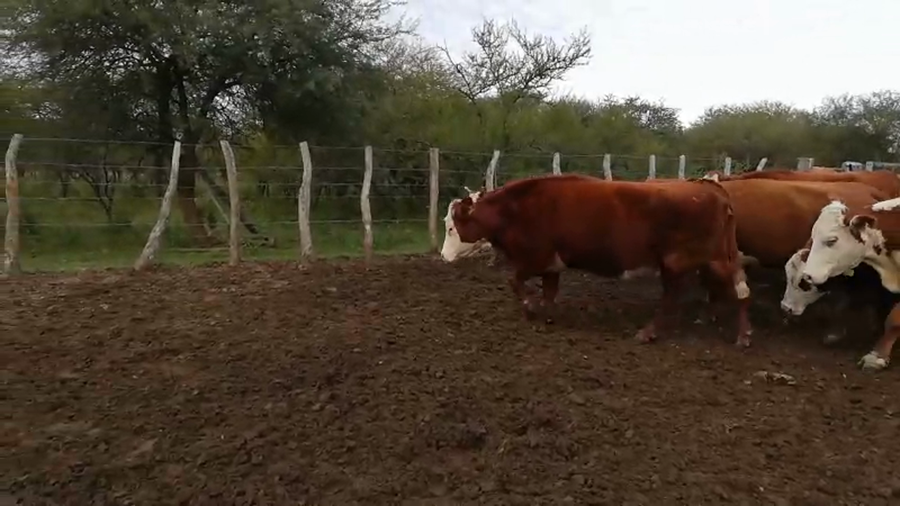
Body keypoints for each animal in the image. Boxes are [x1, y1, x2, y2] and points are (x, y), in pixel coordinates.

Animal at [441, 173, 753, 347]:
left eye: (451, 227)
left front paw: (530, 308)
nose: (443, 257)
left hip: (695, 261)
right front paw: (548, 315)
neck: (516, 210)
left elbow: (514, 281)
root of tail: (711, 189)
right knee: (738, 288)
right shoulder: (551, 264)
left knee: (713, 292)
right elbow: (549, 291)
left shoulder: (535, 258)